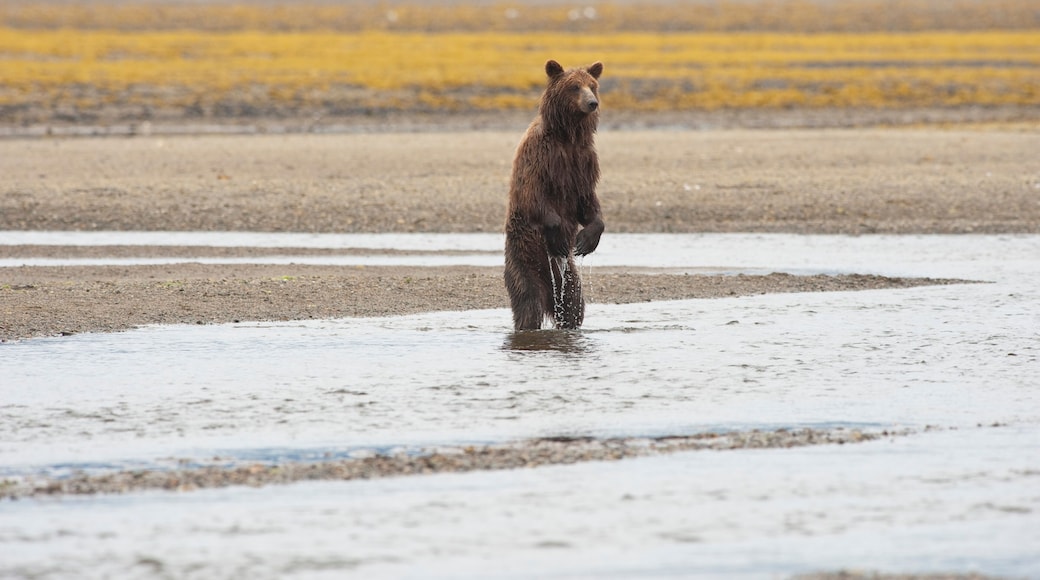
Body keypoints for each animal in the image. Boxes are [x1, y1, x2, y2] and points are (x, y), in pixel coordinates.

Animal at [504, 59, 605, 331]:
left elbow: (588, 201)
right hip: (523, 258)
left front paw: (586, 240)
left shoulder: (584, 161)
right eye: (574, 86)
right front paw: (558, 235)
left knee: (573, 306)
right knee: (528, 303)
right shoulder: (539, 155)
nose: (592, 103)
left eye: (592, 85)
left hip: (568, 276)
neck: (567, 135)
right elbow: (532, 194)